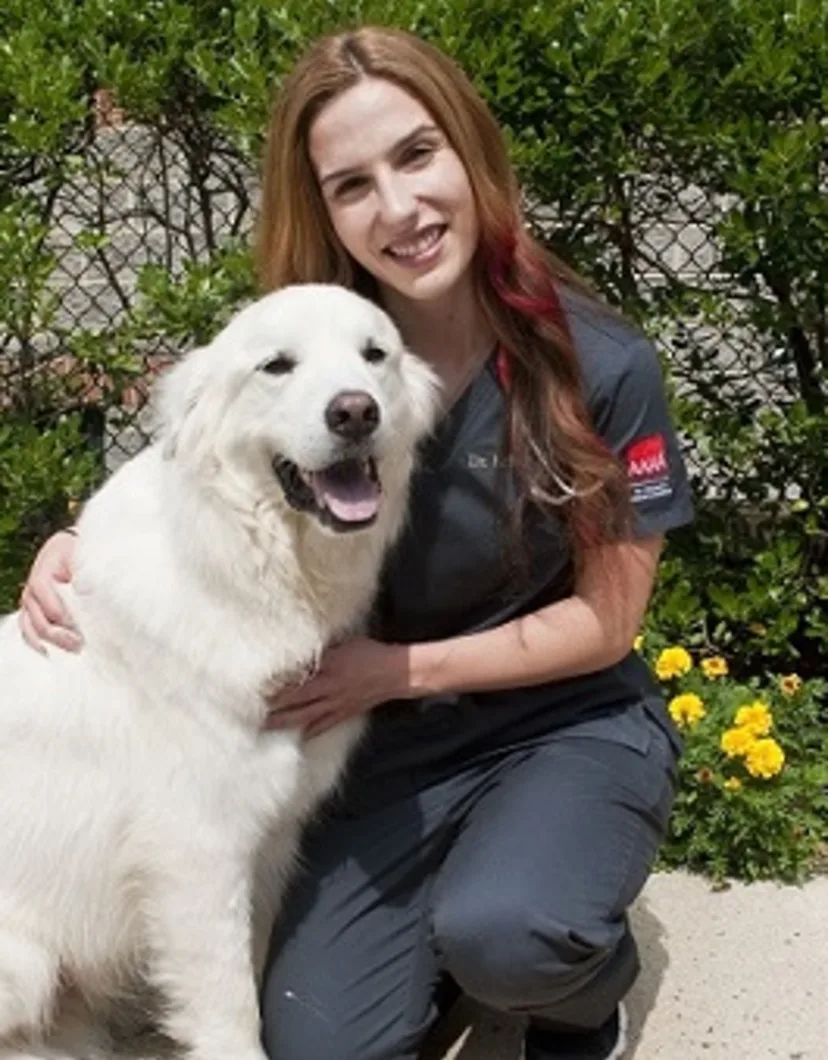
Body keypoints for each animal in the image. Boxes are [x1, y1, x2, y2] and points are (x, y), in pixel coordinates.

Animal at [0, 284, 438, 1060]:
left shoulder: (267, 844)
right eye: (277, 366)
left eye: (374, 354)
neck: (251, 575)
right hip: (20, 963)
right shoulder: (197, 857)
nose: (355, 412)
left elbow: (255, 970)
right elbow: (230, 1009)